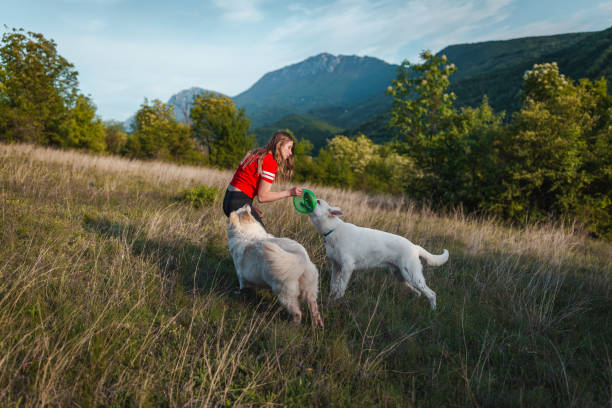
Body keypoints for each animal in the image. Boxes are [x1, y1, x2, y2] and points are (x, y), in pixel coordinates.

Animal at [308, 198, 448, 310]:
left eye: (318, 201)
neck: (333, 230)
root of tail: (415, 247)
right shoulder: (336, 266)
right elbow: (333, 285)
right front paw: (330, 299)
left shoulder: (347, 267)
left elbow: (341, 288)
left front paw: (336, 301)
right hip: (401, 276)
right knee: (418, 292)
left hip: (413, 276)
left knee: (431, 294)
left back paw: (433, 311)